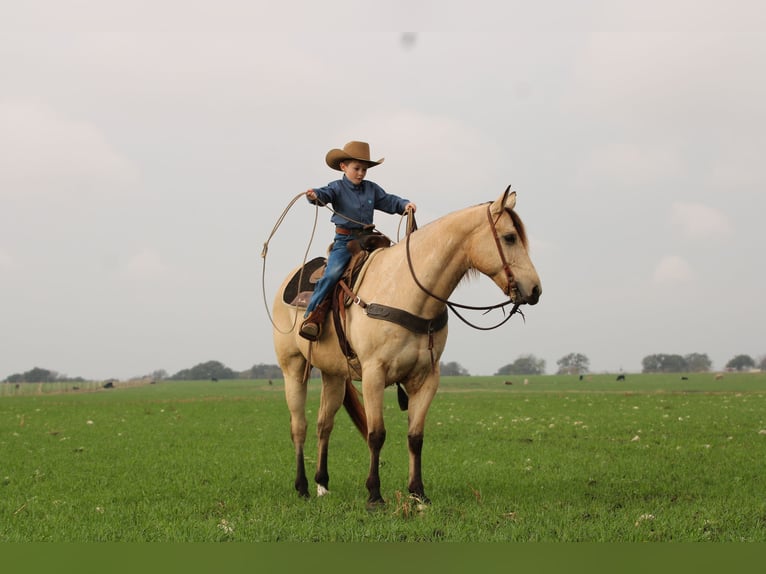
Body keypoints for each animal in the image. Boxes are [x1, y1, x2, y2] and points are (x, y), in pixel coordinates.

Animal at [272, 187, 544, 506]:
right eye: (510, 237)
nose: (535, 289)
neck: (408, 292)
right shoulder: (374, 375)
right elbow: (376, 434)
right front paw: (374, 495)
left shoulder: (426, 378)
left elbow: (416, 436)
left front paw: (418, 493)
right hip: (293, 368)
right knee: (299, 426)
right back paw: (302, 487)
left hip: (334, 376)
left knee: (323, 424)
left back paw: (322, 485)